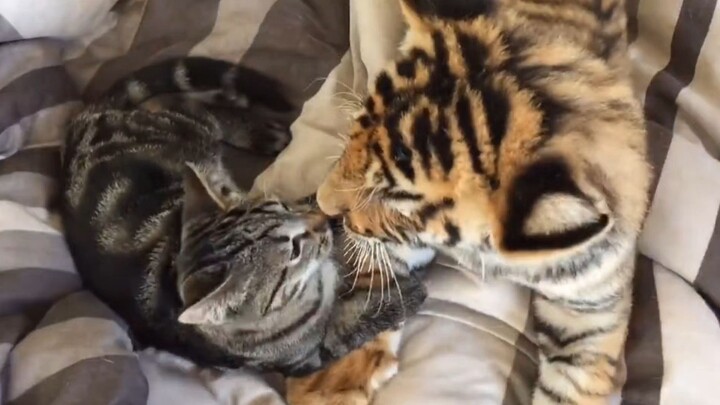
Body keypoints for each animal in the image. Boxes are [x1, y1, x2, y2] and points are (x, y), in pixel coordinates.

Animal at [315, 0, 651, 404]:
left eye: (394, 199)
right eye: (355, 132)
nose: (321, 203)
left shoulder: (591, 314)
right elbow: (374, 279)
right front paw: (333, 386)